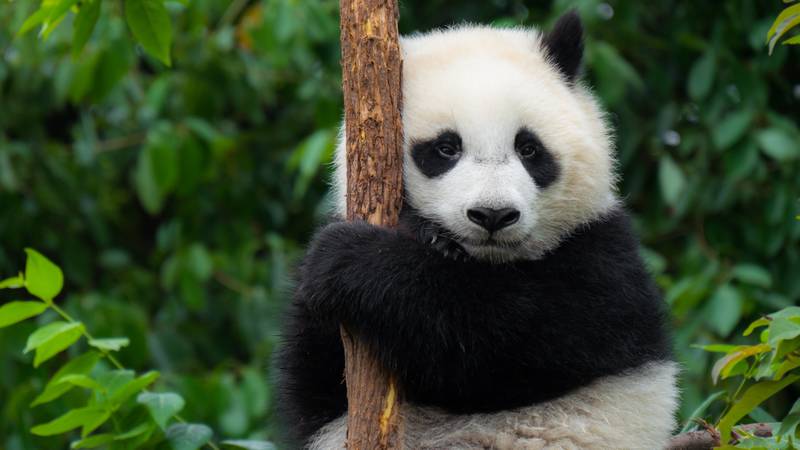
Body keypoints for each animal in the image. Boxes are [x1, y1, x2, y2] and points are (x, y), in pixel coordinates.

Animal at [276, 11, 676, 450]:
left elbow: (506, 341)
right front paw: (424, 235)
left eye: (529, 149)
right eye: (446, 148)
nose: (493, 215)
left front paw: (353, 259)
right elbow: (316, 378)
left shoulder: (602, 258)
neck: (487, 263)